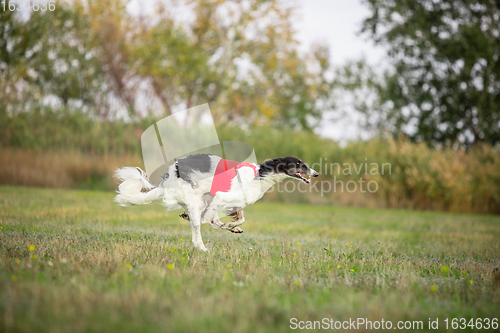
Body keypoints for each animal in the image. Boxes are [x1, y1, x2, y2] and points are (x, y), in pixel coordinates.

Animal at [114, 154, 316, 250]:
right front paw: (229, 226)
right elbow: (209, 220)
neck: (259, 176)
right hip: (196, 197)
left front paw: (232, 226)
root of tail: (168, 179)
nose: (316, 173)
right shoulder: (220, 197)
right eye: (299, 164)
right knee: (198, 232)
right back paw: (203, 249)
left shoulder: (233, 202)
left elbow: (239, 218)